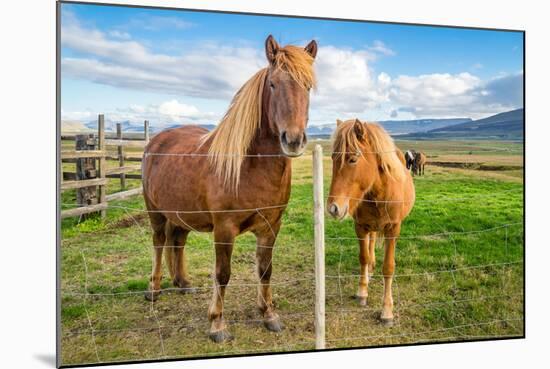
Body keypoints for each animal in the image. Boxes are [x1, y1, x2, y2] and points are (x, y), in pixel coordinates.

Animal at [141, 35, 320, 342]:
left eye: (308, 86)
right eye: (273, 84)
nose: (294, 140)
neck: (249, 168)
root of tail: (157, 139)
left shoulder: (271, 227)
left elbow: (265, 270)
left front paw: (269, 315)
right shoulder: (224, 229)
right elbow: (222, 274)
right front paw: (217, 324)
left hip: (181, 213)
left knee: (177, 240)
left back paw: (182, 282)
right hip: (155, 212)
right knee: (159, 242)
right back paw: (154, 289)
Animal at [328, 118, 414, 324]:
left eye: (352, 159)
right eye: (333, 158)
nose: (333, 208)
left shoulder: (393, 229)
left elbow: (388, 267)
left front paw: (387, 311)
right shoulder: (360, 227)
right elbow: (363, 257)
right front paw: (362, 292)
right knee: (371, 244)